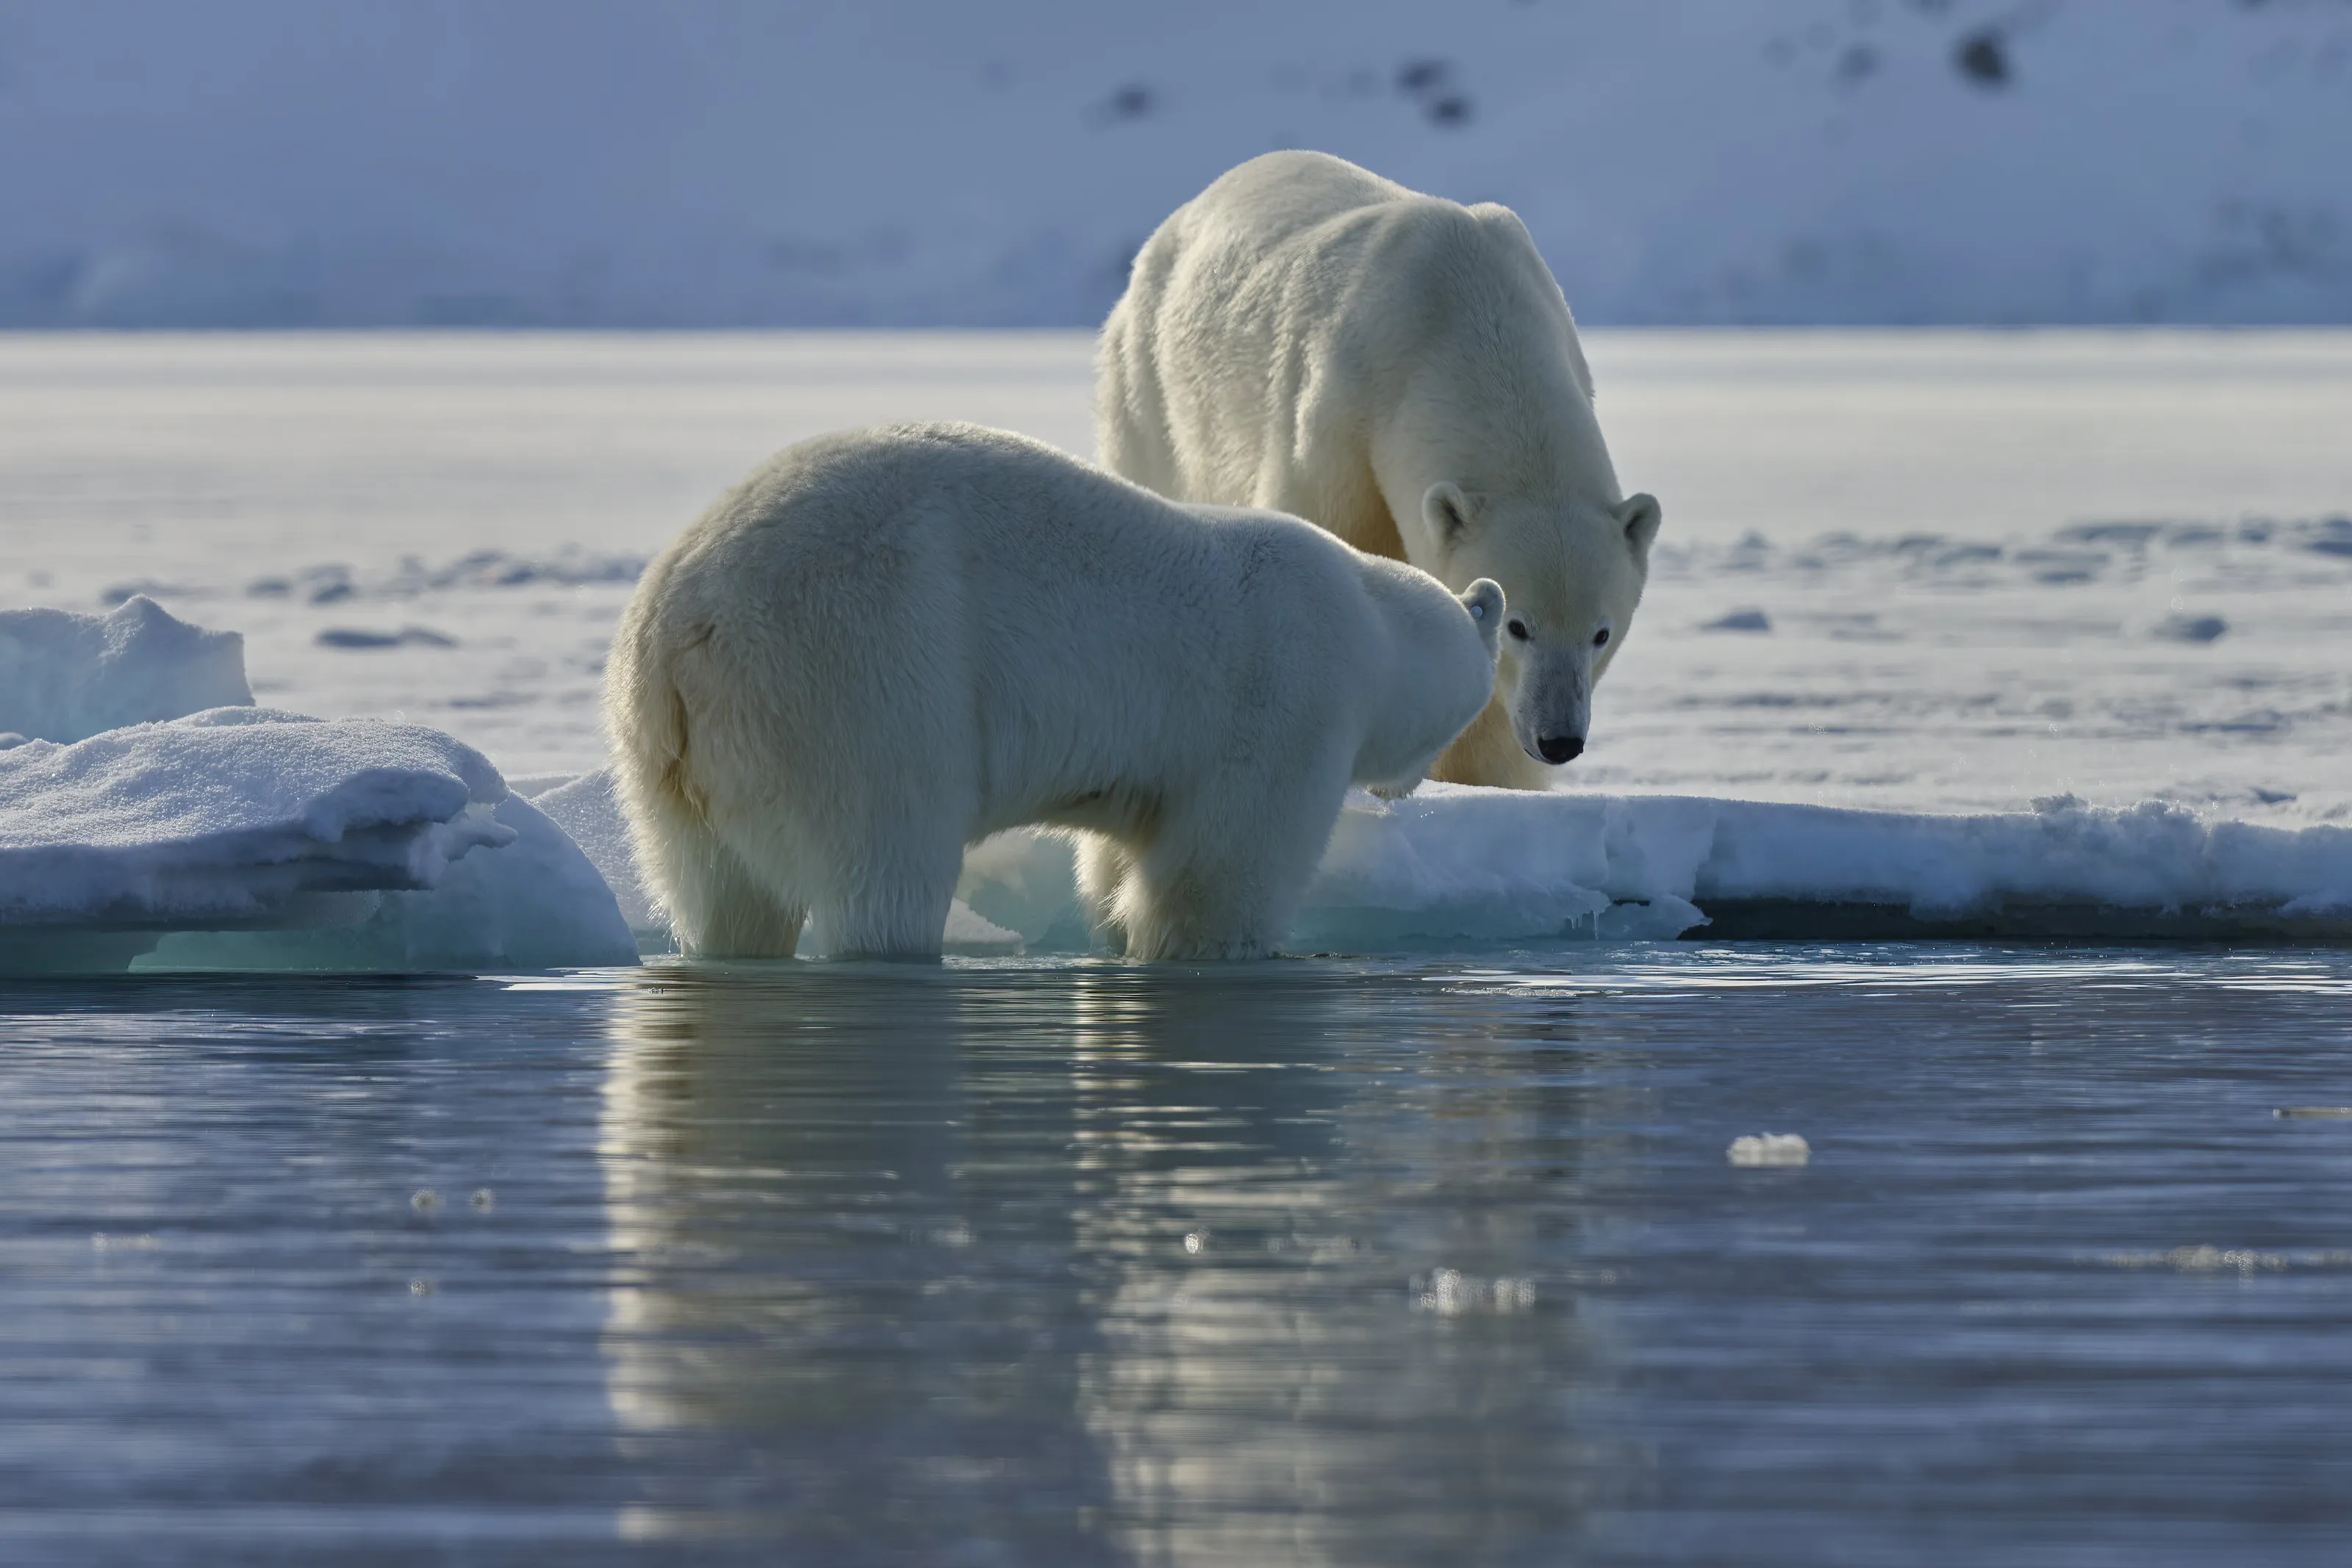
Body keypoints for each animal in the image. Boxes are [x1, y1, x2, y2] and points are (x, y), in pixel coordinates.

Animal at [605, 422, 1503, 962]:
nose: (1406, 787)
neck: (1373, 627)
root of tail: (683, 626)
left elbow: (1115, 859)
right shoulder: (1284, 699)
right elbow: (1216, 875)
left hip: (678, 763)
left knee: (720, 893)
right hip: (856, 670)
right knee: (885, 861)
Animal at [1097, 149, 1661, 791]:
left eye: (1601, 633)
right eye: (1520, 626)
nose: (1560, 740)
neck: (1463, 308)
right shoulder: (1345, 411)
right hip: (1153, 390)